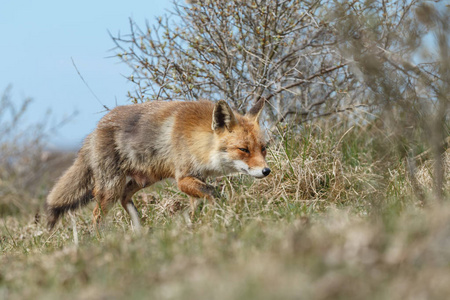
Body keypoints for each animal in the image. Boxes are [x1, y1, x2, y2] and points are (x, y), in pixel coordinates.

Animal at [44, 97, 270, 229]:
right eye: (244, 150)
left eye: (263, 148)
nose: (266, 171)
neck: (197, 139)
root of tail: (94, 130)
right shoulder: (183, 179)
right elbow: (214, 193)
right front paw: (225, 212)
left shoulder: (196, 178)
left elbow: (197, 205)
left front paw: (196, 225)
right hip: (111, 188)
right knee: (97, 214)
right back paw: (101, 240)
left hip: (144, 179)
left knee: (125, 199)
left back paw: (139, 231)